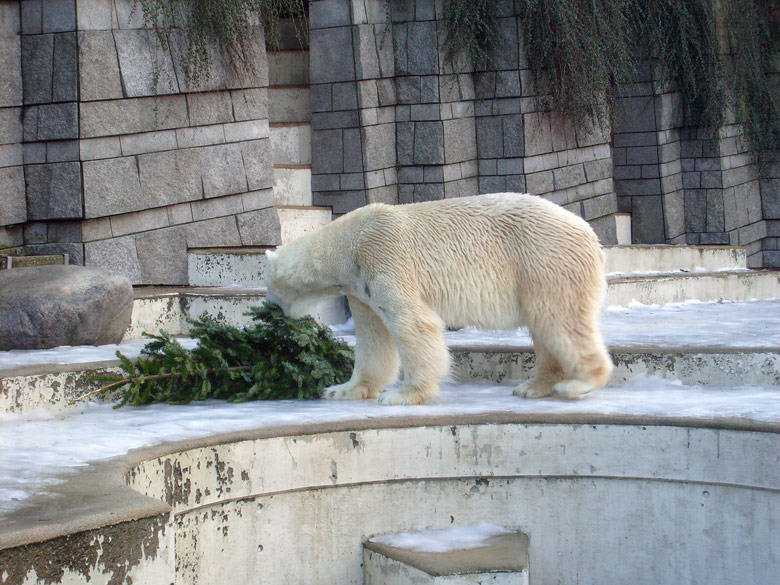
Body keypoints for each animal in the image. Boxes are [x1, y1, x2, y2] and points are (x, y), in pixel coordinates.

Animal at [266, 194, 612, 404]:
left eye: (266, 284)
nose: (269, 307)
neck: (348, 245)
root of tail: (590, 234)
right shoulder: (359, 289)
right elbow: (374, 337)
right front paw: (341, 389)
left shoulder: (383, 255)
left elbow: (414, 323)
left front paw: (403, 395)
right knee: (545, 327)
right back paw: (532, 387)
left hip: (544, 260)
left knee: (560, 320)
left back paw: (578, 383)